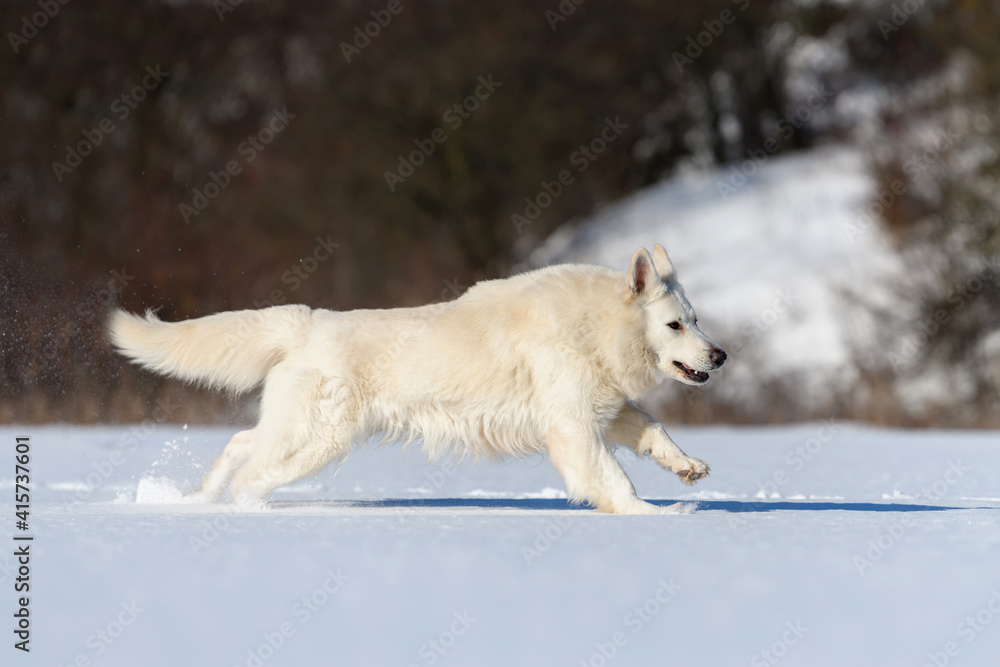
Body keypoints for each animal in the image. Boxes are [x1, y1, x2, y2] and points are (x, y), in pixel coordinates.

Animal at [111, 247, 728, 516]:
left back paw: (201, 498)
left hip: (298, 432)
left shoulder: (604, 409)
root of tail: (307, 322)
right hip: (319, 440)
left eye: (695, 319)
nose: (720, 355)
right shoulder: (573, 428)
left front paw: (686, 468)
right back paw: (239, 508)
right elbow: (615, 481)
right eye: (674, 325)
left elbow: (651, 429)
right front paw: (657, 519)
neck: (594, 328)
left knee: (241, 443)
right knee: (252, 471)